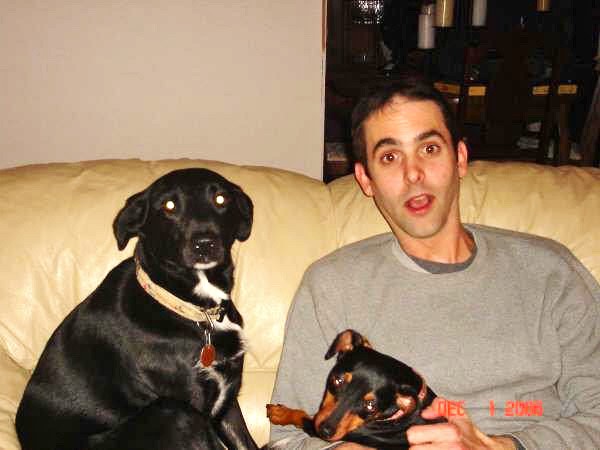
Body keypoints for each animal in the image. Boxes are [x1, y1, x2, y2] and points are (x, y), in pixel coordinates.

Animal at [16, 168, 258, 450]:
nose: (204, 243)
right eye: (169, 206)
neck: (193, 311)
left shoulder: (227, 401)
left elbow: (246, 443)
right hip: (173, 413)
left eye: (221, 199)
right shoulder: (195, 404)